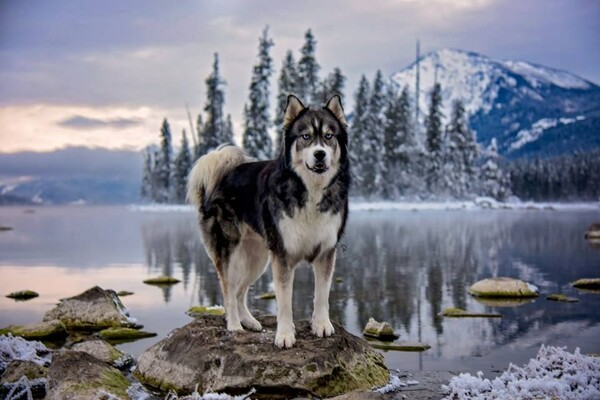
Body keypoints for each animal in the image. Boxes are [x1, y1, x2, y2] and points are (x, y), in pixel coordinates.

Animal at [185, 94, 350, 346]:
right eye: (306, 136)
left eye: (329, 136)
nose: (319, 154)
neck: (309, 189)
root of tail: (220, 176)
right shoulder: (282, 256)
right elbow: (284, 301)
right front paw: (285, 334)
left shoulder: (325, 251)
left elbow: (322, 295)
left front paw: (321, 325)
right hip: (230, 252)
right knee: (228, 292)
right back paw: (235, 326)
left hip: (258, 258)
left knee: (240, 292)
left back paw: (250, 322)